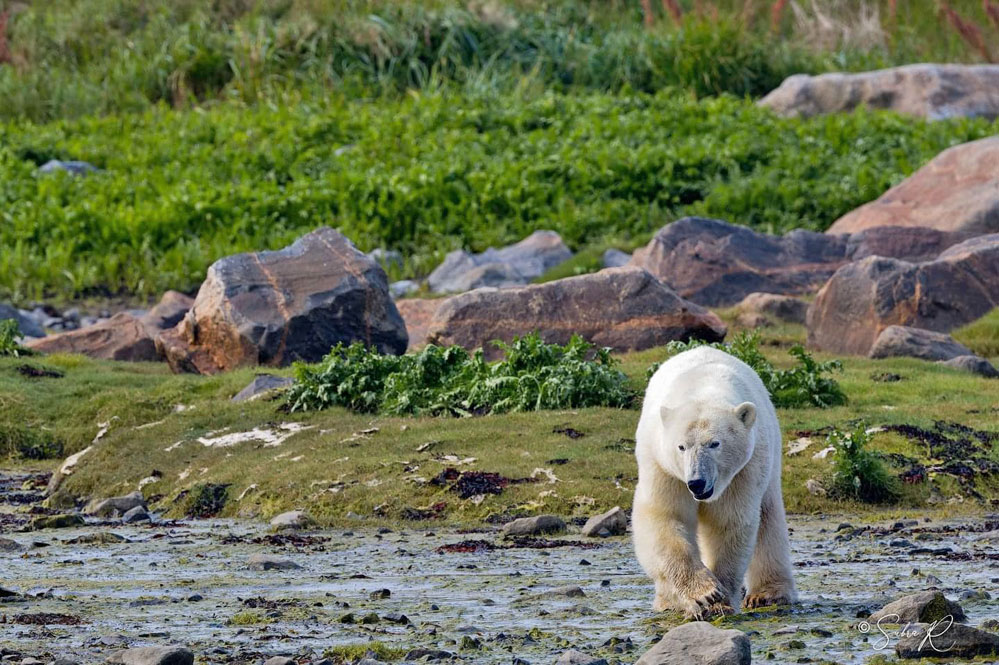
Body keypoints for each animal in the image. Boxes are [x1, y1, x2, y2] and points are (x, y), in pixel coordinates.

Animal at [632, 344, 796, 620]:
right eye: (681, 446)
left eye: (715, 444)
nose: (697, 483)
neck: (702, 387)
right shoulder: (663, 467)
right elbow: (665, 517)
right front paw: (705, 594)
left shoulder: (743, 472)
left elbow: (728, 523)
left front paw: (720, 601)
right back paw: (667, 602)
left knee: (769, 517)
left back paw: (768, 594)